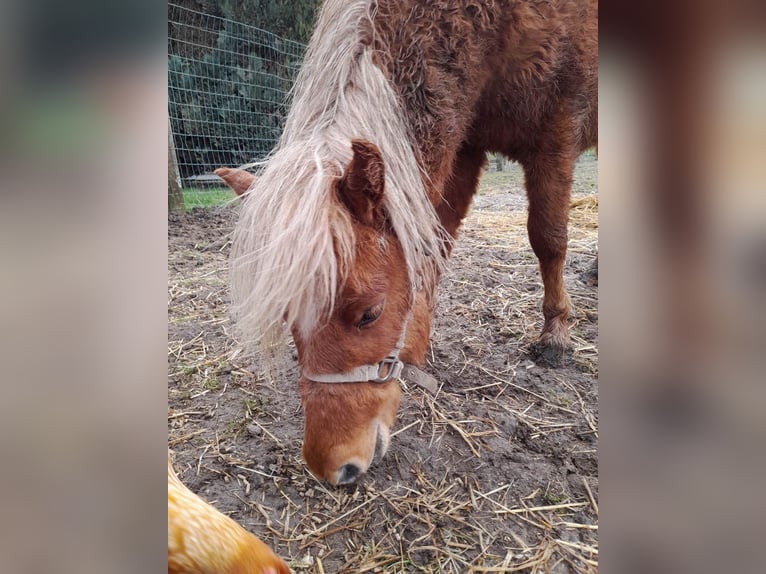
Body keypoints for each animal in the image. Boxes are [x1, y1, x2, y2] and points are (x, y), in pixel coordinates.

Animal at [226, 0, 597, 485]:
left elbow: (548, 239)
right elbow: (433, 243)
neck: (497, 25)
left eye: (370, 314)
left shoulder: (555, 136)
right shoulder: (463, 144)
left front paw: (555, 336)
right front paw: (416, 346)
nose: (333, 468)